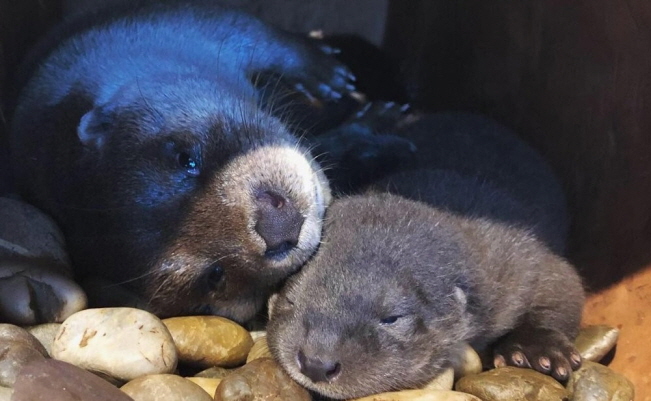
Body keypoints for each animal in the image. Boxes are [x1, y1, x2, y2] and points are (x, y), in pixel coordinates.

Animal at [6, 0, 362, 320]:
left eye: (185, 159)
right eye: (214, 276)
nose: (279, 225)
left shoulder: (175, 22)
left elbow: (258, 32)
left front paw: (326, 72)